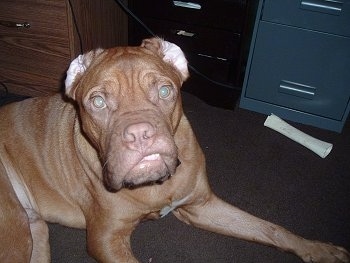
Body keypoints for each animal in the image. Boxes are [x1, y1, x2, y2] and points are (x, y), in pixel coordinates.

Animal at [0, 37, 348, 263]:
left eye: (165, 91)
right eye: (97, 102)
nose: (140, 134)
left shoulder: (202, 206)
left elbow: (269, 228)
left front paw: (318, 250)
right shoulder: (106, 240)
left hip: (35, 232)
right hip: (16, 233)